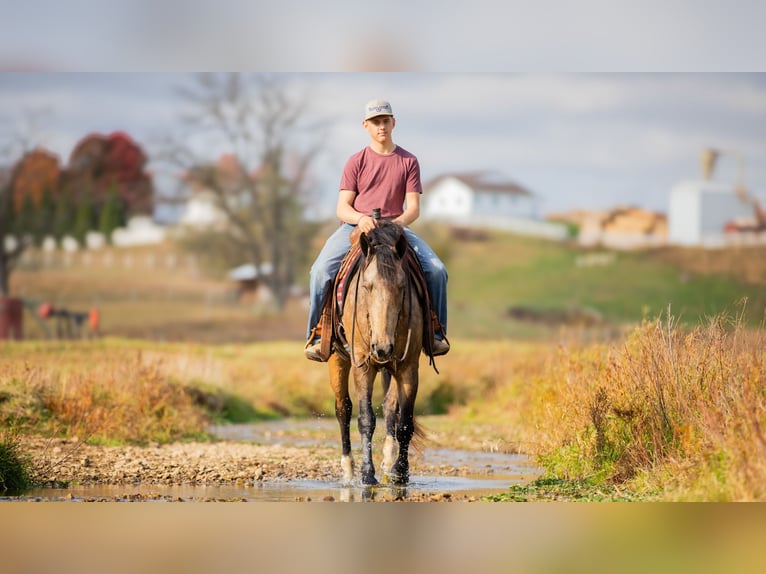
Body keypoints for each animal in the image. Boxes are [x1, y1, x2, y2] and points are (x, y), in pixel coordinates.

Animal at [328, 220, 438, 486]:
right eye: (367, 287)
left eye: (401, 286)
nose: (382, 347)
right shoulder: (363, 367)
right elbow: (366, 419)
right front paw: (367, 474)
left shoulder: (408, 368)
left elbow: (405, 422)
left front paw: (400, 471)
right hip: (338, 360)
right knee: (343, 409)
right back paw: (348, 469)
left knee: (389, 408)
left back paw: (388, 462)